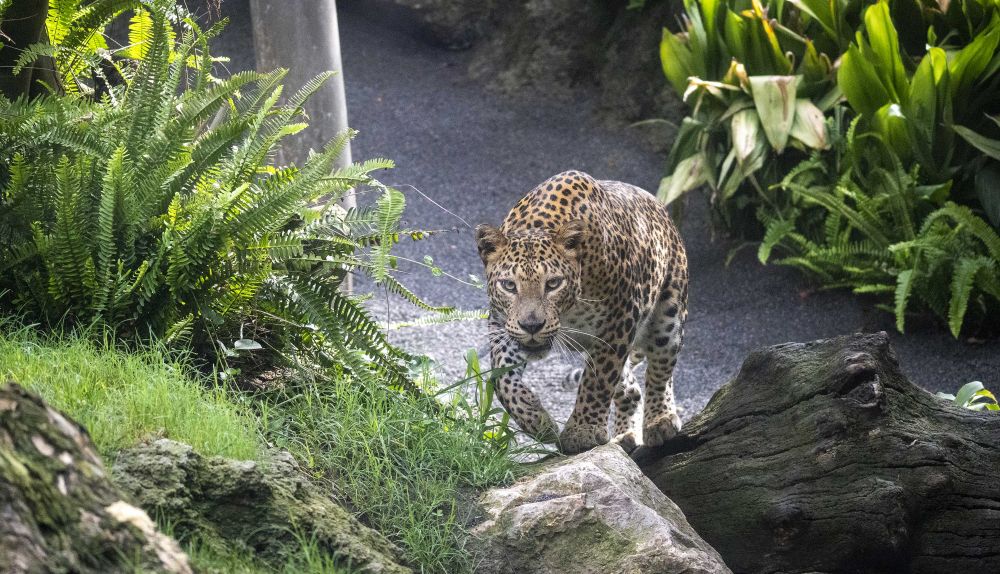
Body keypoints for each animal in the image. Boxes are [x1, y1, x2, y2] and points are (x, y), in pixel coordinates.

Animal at [475, 170, 689, 454]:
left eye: (553, 283)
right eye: (509, 285)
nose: (532, 326)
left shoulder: (619, 321)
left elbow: (597, 382)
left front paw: (581, 432)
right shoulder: (502, 324)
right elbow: (501, 378)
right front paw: (537, 421)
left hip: (668, 313)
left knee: (661, 367)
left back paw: (660, 420)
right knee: (631, 388)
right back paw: (624, 435)